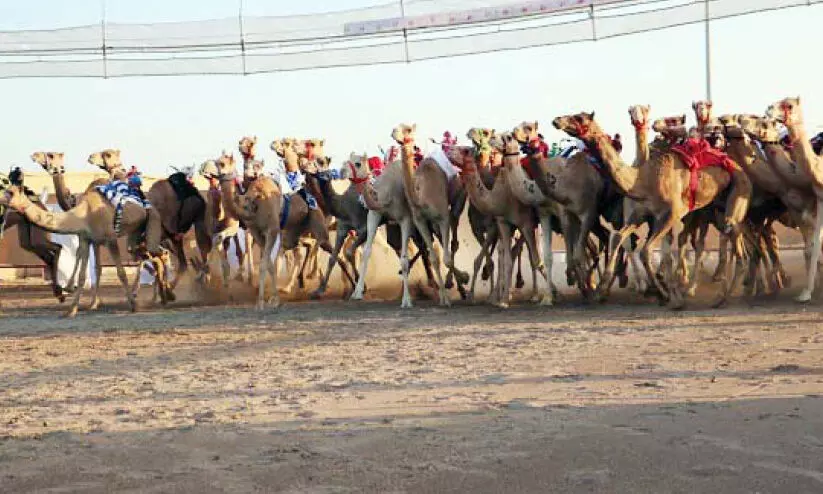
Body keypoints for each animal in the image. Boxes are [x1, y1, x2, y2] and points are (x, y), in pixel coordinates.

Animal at [0, 178, 169, 317]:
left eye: (11, 192)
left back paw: (165, 295)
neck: (84, 214)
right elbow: (82, 276)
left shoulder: (110, 239)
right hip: (136, 233)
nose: (1, 200)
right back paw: (165, 296)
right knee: (155, 256)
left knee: (161, 253)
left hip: (152, 218)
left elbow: (121, 273)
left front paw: (133, 306)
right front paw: (72, 310)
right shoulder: (86, 239)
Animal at [553, 111, 752, 308]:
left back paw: (721, 296)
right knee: (734, 236)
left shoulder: (671, 214)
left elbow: (646, 250)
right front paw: (601, 289)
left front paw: (664, 295)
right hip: (717, 207)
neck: (642, 181)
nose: (557, 120)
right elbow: (618, 238)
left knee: (733, 236)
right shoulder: (638, 216)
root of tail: (739, 168)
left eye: (579, 118)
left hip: (739, 190)